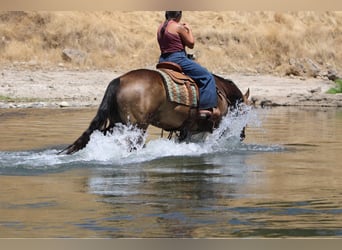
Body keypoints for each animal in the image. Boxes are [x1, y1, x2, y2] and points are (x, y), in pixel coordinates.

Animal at [58, 63, 248, 154]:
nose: (243, 135)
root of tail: (119, 80)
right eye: (245, 112)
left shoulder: (187, 130)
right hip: (137, 126)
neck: (222, 91)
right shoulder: (215, 125)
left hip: (117, 123)